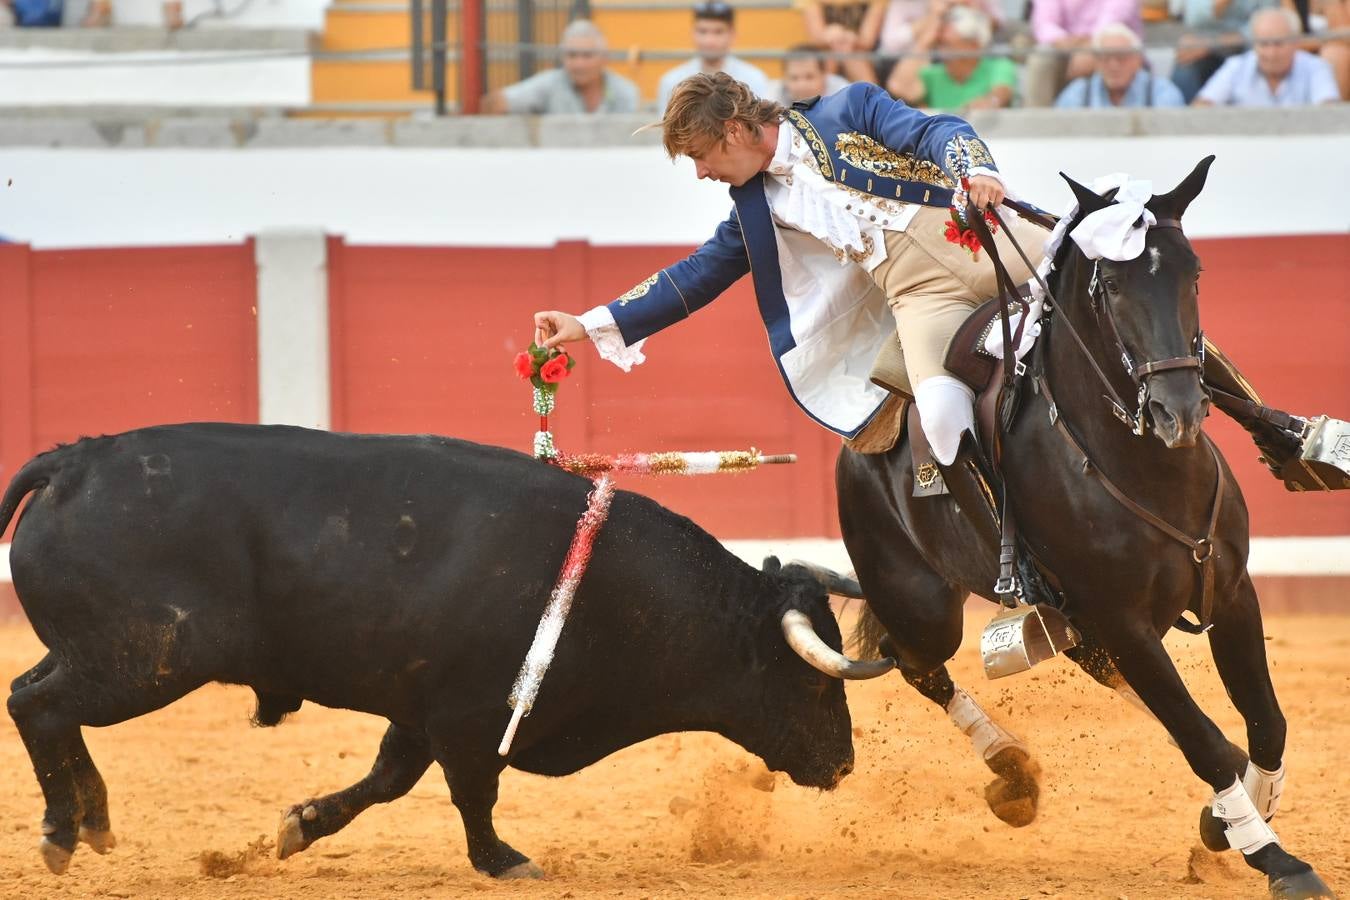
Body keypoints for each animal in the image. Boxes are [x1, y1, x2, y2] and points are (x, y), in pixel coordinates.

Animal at [0, 423, 874, 879]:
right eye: (813, 686)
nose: (844, 763)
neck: (615, 590)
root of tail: (75, 459)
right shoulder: (468, 715)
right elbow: (472, 793)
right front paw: (503, 860)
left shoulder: (422, 710)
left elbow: (388, 780)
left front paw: (300, 825)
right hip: (144, 660)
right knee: (37, 704)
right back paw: (61, 832)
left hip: (105, 655)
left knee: (37, 697)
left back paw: (94, 820)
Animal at [837, 158, 1333, 895]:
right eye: (1113, 285)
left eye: (1194, 273)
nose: (1179, 412)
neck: (1146, 466)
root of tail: (865, 431)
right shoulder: (1123, 620)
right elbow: (1204, 740)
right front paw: (1276, 858)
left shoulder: (1231, 590)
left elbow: (1265, 720)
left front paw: (1228, 823)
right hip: (922, 603)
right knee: (914, 661)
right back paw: (1010, 770)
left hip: (1073, 620)